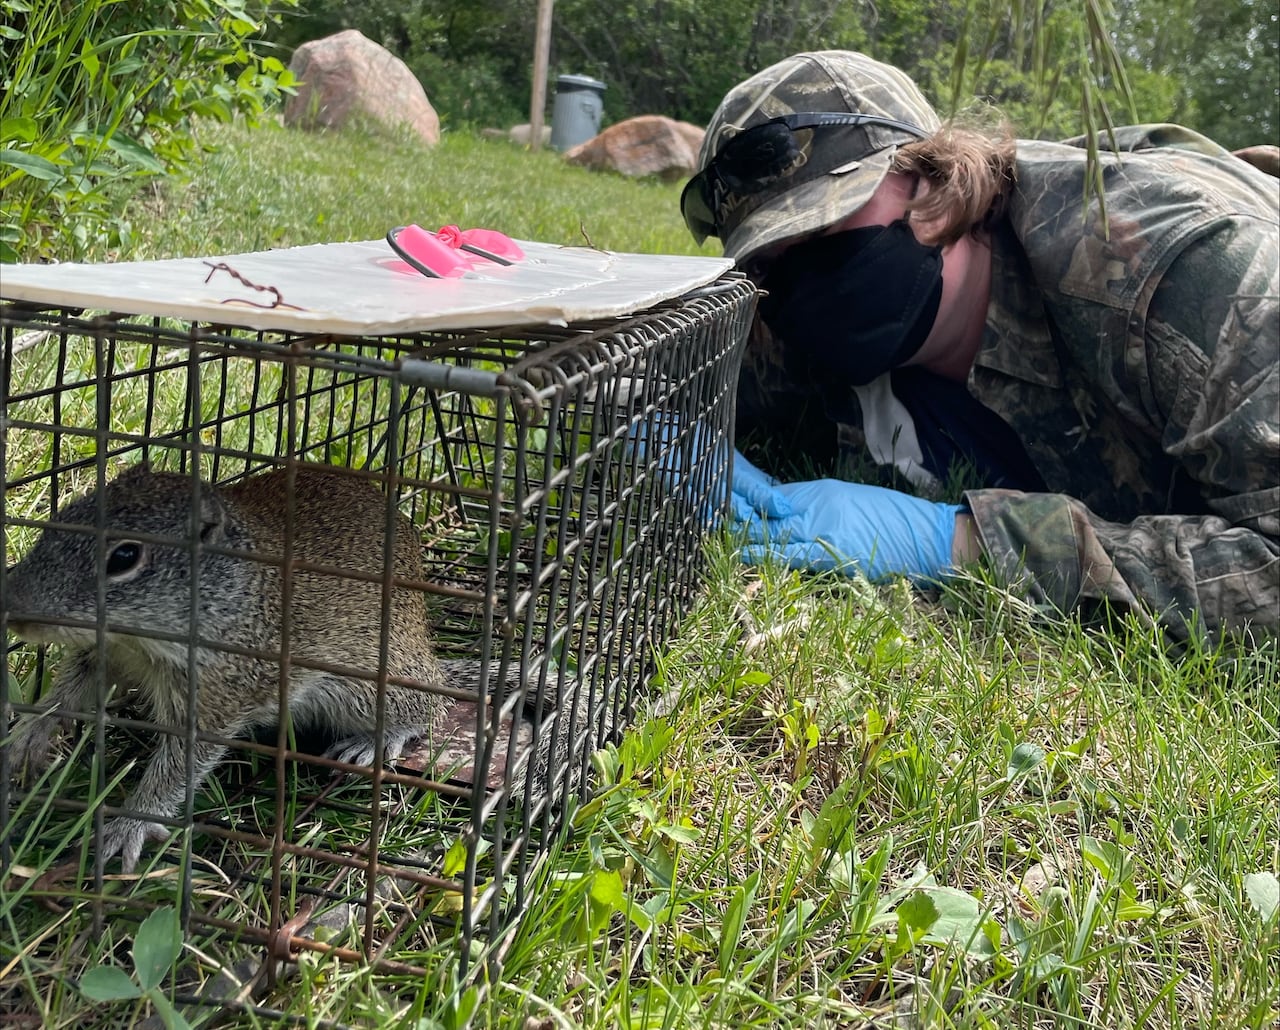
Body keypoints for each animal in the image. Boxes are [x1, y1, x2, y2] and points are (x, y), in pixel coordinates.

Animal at [3, 464, 458, 873]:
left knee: (427, 705)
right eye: (62, 517)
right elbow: (66, 695)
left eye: (125, 556)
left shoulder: (219, 692)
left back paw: (373, 740)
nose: (12, 610)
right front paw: (25, 742)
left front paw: (131, 824)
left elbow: (177, 767)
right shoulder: (103, 654)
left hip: (367, 687)